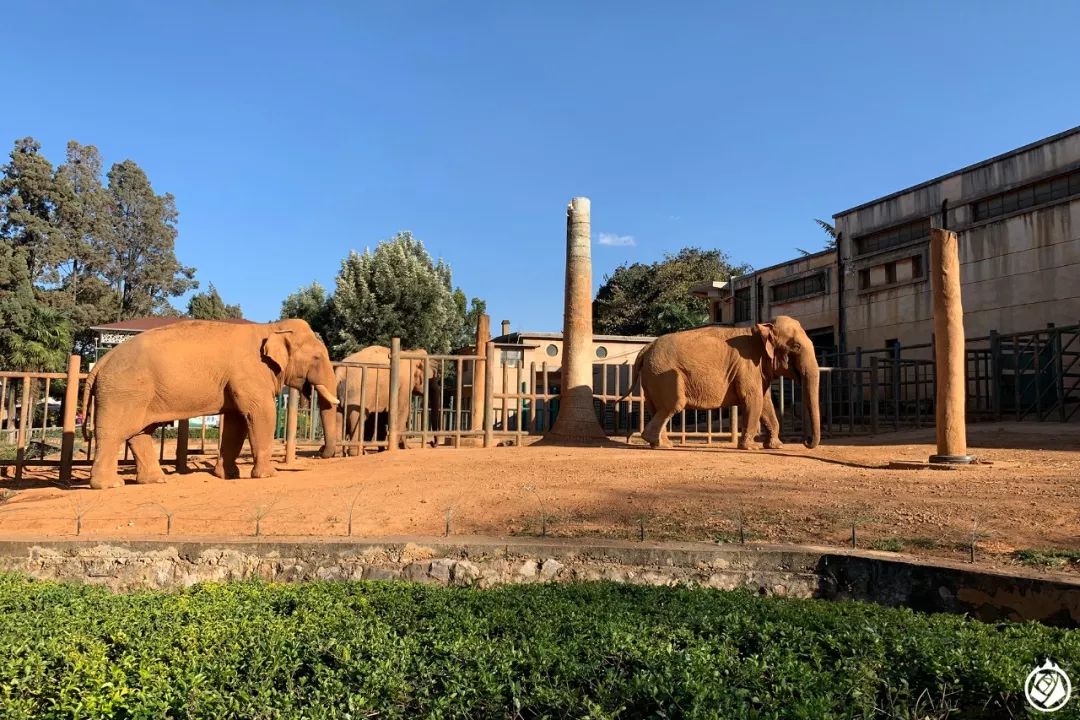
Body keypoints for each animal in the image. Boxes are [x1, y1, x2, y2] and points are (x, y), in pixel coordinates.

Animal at [82, 317, 336, 490]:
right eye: (317, 358)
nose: (320, 453)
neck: (270, 327)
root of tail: (101, 361)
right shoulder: (249, 374)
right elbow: (259, 414)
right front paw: (268, 475)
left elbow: (237, 422)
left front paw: (228, 475)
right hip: (122, 393)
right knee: (114, 434)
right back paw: (111, 485)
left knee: (140, 433)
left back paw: (155, 480)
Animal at [630, 315, 816, 451]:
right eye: (797, 346)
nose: (806, 441)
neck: (762, 328)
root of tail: (645, 349)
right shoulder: (748, 365)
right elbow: (753, 399)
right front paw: (751, 448)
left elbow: (765, 403)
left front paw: (776, 446)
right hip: (662, 376)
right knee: (673, 404)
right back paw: (659, 444)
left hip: (652, 377)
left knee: (657, 408)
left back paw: (662, 443)